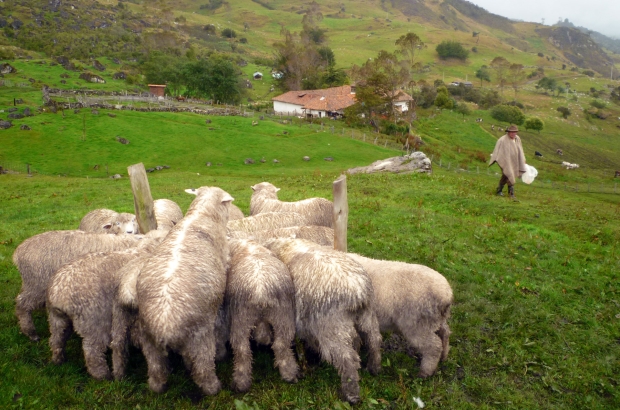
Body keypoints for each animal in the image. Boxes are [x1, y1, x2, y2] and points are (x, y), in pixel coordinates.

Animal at [135, 187, 232, 396]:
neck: (201, 214)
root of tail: (165, 326)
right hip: (200, 337)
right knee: (202, 369)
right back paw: (213, 388)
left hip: (149, 341)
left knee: (156, 371)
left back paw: (158, 387)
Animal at [225, 239, 298, 392]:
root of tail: (260, 290)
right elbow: (263, 335)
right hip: (282, 315)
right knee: (281, 345)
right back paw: (289, 373)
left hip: (241, 318)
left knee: (242, 350)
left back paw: (240, 382)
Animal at [262, 237, 382, 404]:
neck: (285, 246)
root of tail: (357, 291)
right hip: (368, 316)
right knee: (374, 340)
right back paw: (374, 367)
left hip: (332, 326)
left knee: (347, 358)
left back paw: (351, 394)